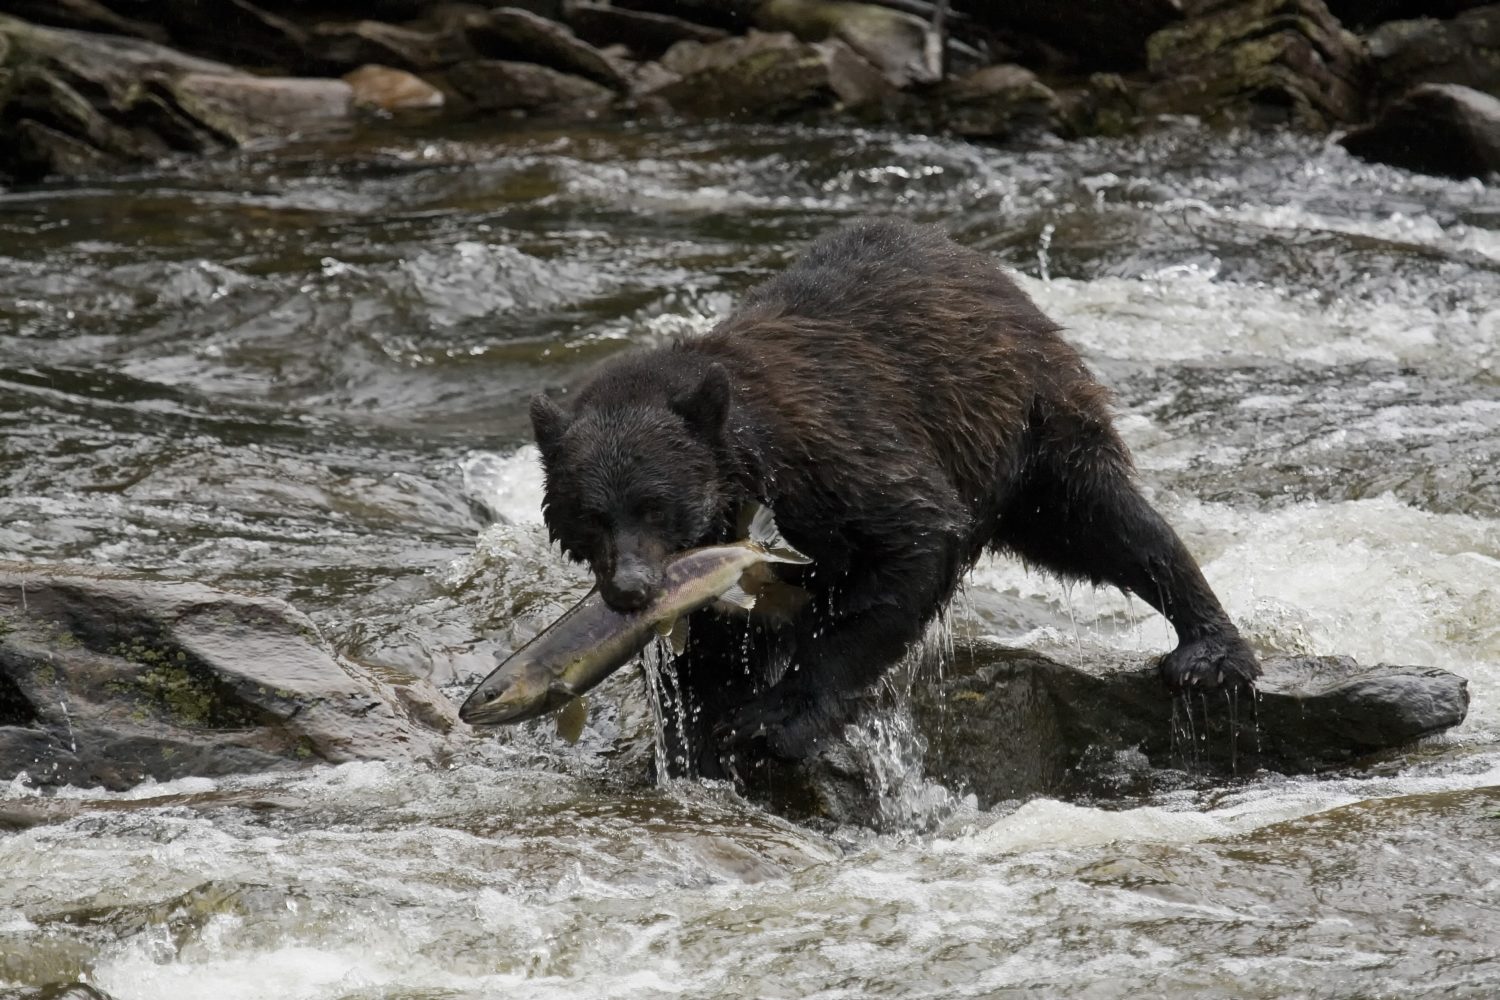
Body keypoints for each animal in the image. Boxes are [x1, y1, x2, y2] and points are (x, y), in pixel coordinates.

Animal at [534, 220, 1260, 779]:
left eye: (655, 504)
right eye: (591, 516)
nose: (630, 588)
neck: (748, 476)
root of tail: (982, 263)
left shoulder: (830, 459)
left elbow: (906, 544)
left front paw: (775, 718)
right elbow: (705, 650)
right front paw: (699, 737)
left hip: (1026, 424)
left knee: (1107, 524)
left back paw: (1208, 652)